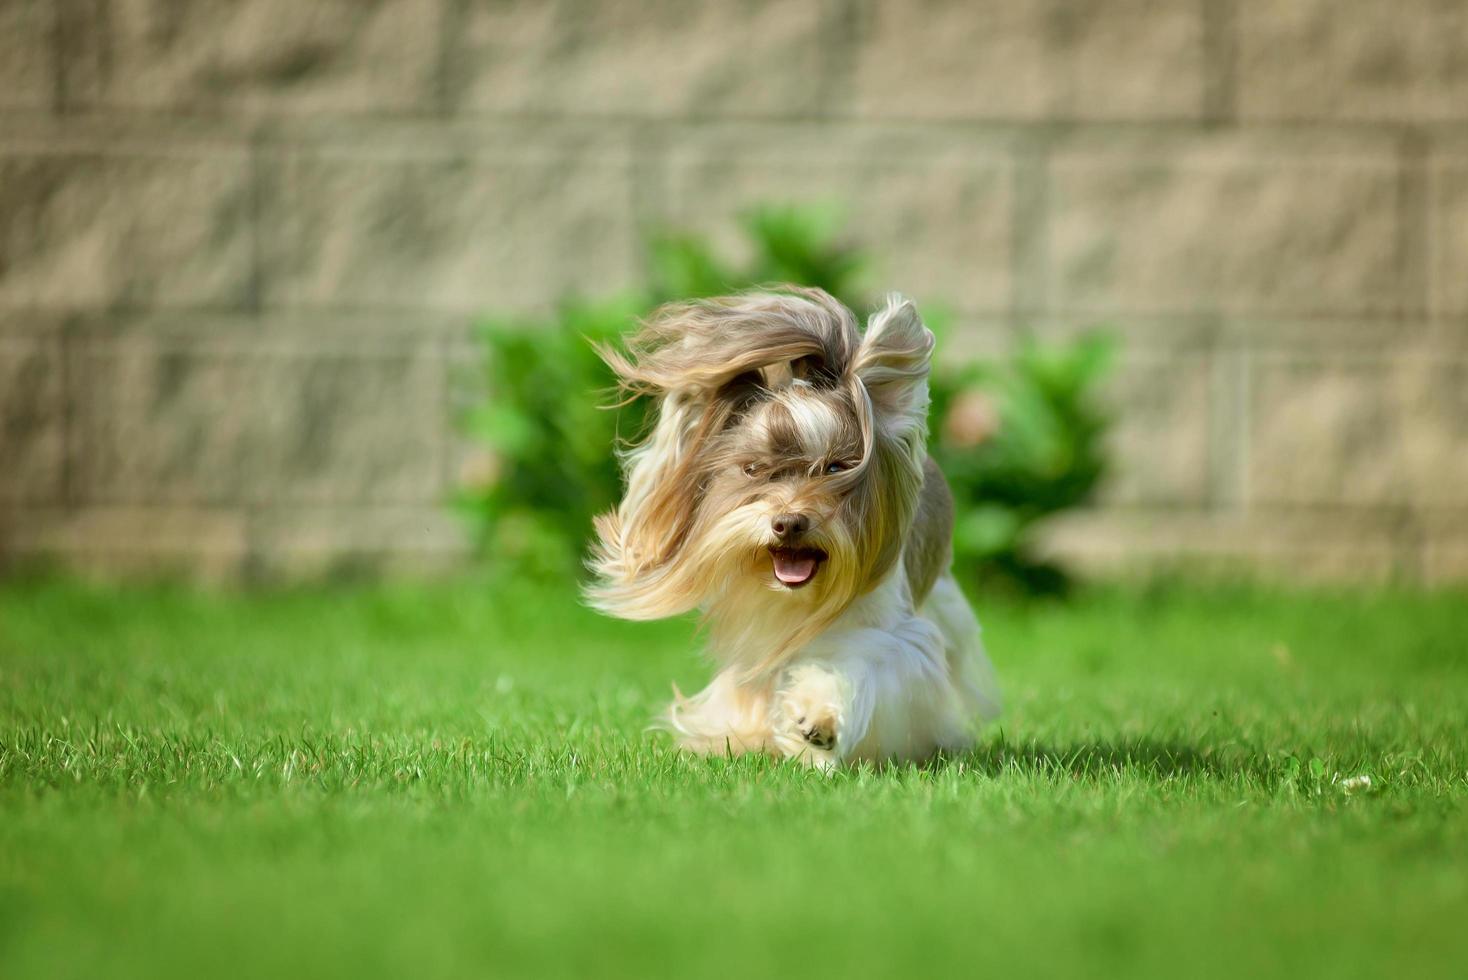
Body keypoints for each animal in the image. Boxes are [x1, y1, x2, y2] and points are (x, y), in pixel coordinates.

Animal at [584, 284, 998, 762]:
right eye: (753, 469)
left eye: (837, 467)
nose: (788, 523)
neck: (798, 599)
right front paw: (745, 736)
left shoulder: (896, 638)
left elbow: (862, 664)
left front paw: (817, 723)